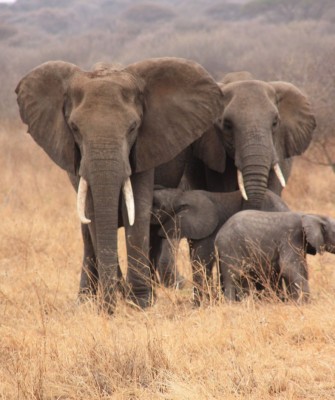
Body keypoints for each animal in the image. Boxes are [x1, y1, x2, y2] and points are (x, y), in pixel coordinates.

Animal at [16, 57, 226, 312]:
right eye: (74, 128)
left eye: (133, 127)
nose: (110, 307)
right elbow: (93, 214)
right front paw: (117, 301)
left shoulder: (145, 146)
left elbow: (138, 211)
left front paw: (140, 303)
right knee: (86, 234)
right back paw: (84, 301)